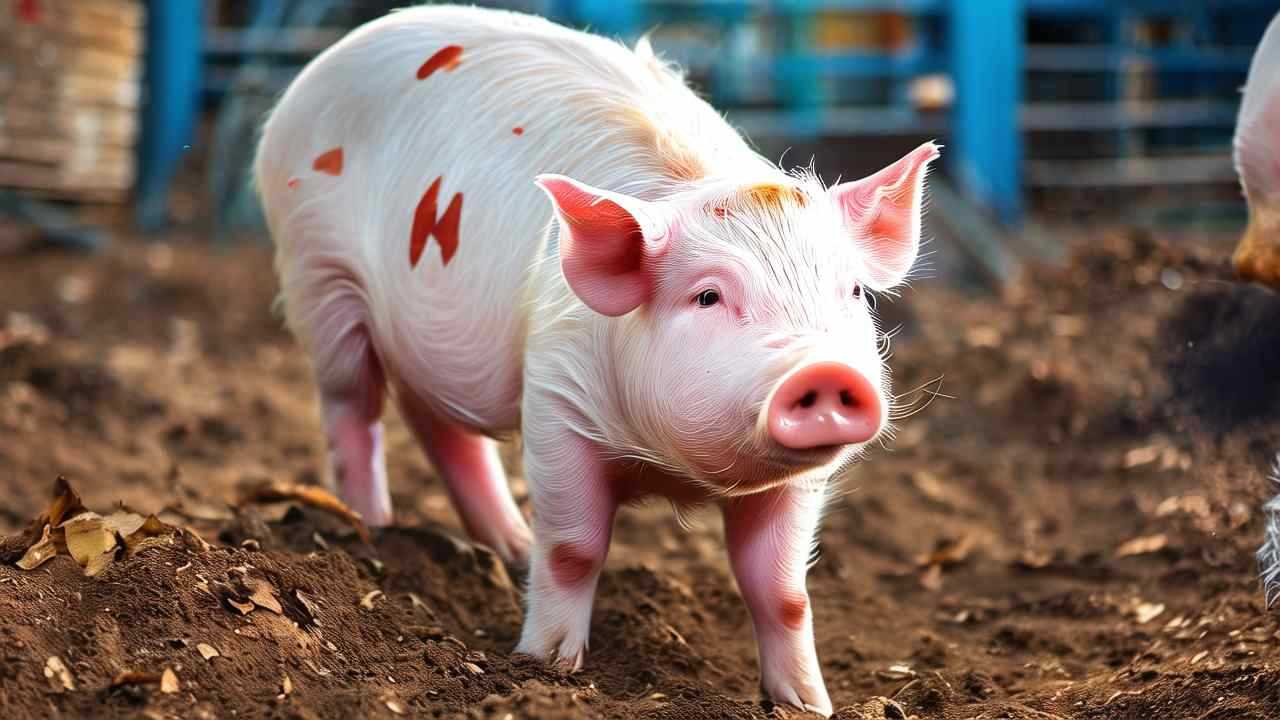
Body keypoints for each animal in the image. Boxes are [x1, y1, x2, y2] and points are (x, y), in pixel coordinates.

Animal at [252, 5, 942, 712]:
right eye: (708, 295)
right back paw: (372, 531)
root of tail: (323, 64)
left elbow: (784, 593)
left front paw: (808, 705)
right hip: (318, 279)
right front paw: (546, 667)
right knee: (352, 409)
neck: (670, 468)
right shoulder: (555, 395)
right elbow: (573, 550)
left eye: (853, 291)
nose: (824, 369)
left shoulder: (796, 480)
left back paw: (508, 548)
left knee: (437, 424)